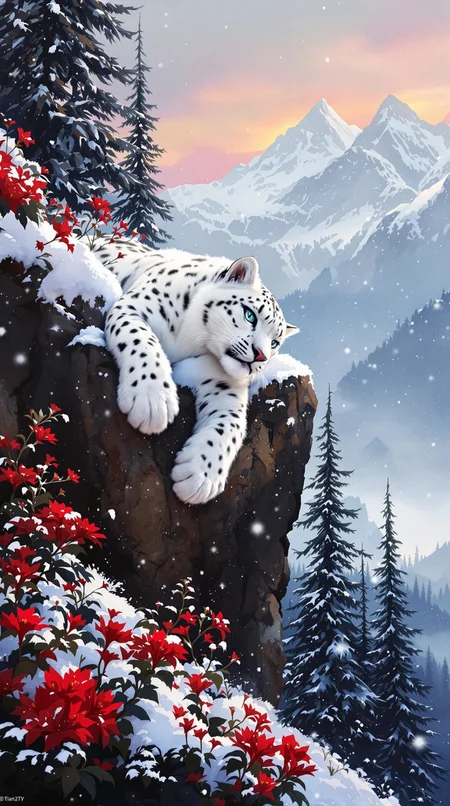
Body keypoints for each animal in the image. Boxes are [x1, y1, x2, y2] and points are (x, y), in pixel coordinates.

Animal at [100, 241, 299, 505]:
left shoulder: (223, 381)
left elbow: (232, 424)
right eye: (250, 314)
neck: (192, 341)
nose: (260, 356)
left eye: (275, 342)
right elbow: (141, 339)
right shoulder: (132, 308)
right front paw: (153, 400)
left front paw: (200, 477)